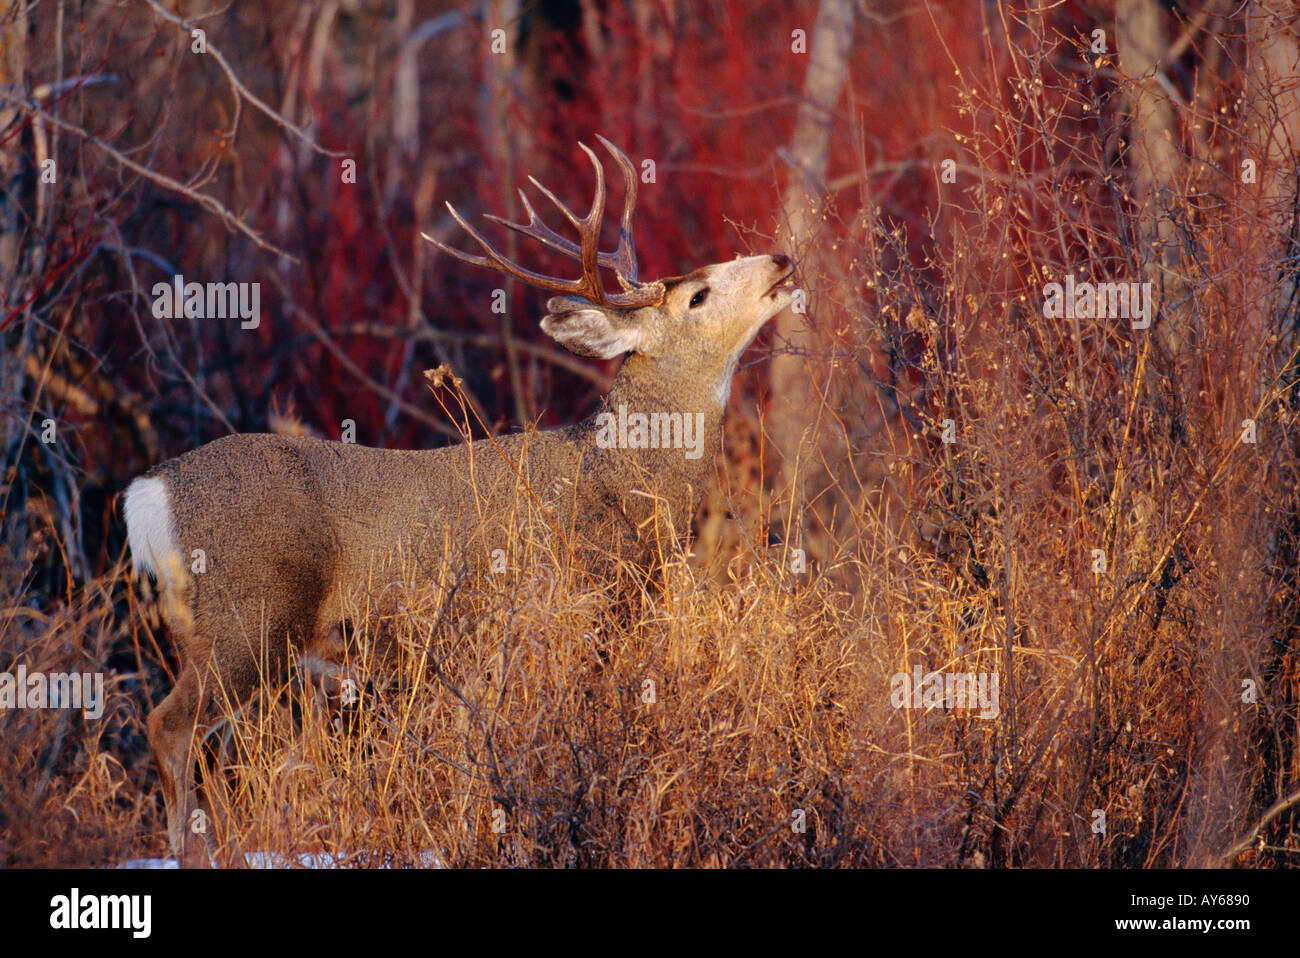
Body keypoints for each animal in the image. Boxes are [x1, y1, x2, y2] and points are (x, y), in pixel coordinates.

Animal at [124, 136, 790, 868]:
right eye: (699, 295)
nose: (782, 260)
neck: (621, 478)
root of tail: (149, 494)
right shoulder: (570, 609)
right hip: (249, 616)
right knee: (168, 727)